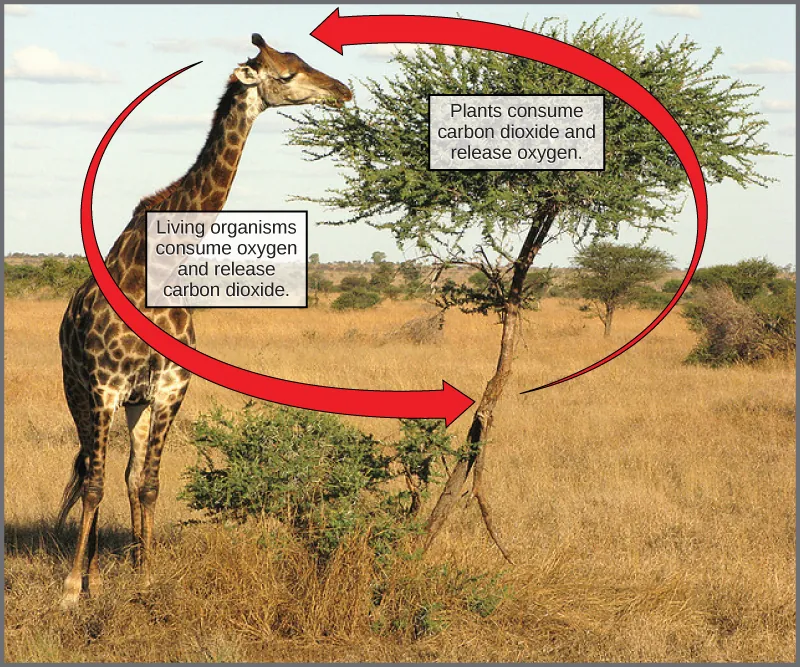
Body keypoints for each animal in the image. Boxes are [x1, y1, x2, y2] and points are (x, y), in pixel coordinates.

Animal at [56, 34, 351, 608]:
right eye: (286, 74)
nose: (343, 90)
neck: (156, 267)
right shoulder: (104, 386)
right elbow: (96, 484)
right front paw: (72, 591)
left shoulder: (170, 387)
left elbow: (147, 483)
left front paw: (145, 576)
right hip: (77, 390)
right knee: (90, 472)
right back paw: (87, 574)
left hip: (135, 402)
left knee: (124, 474)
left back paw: (114, 567)